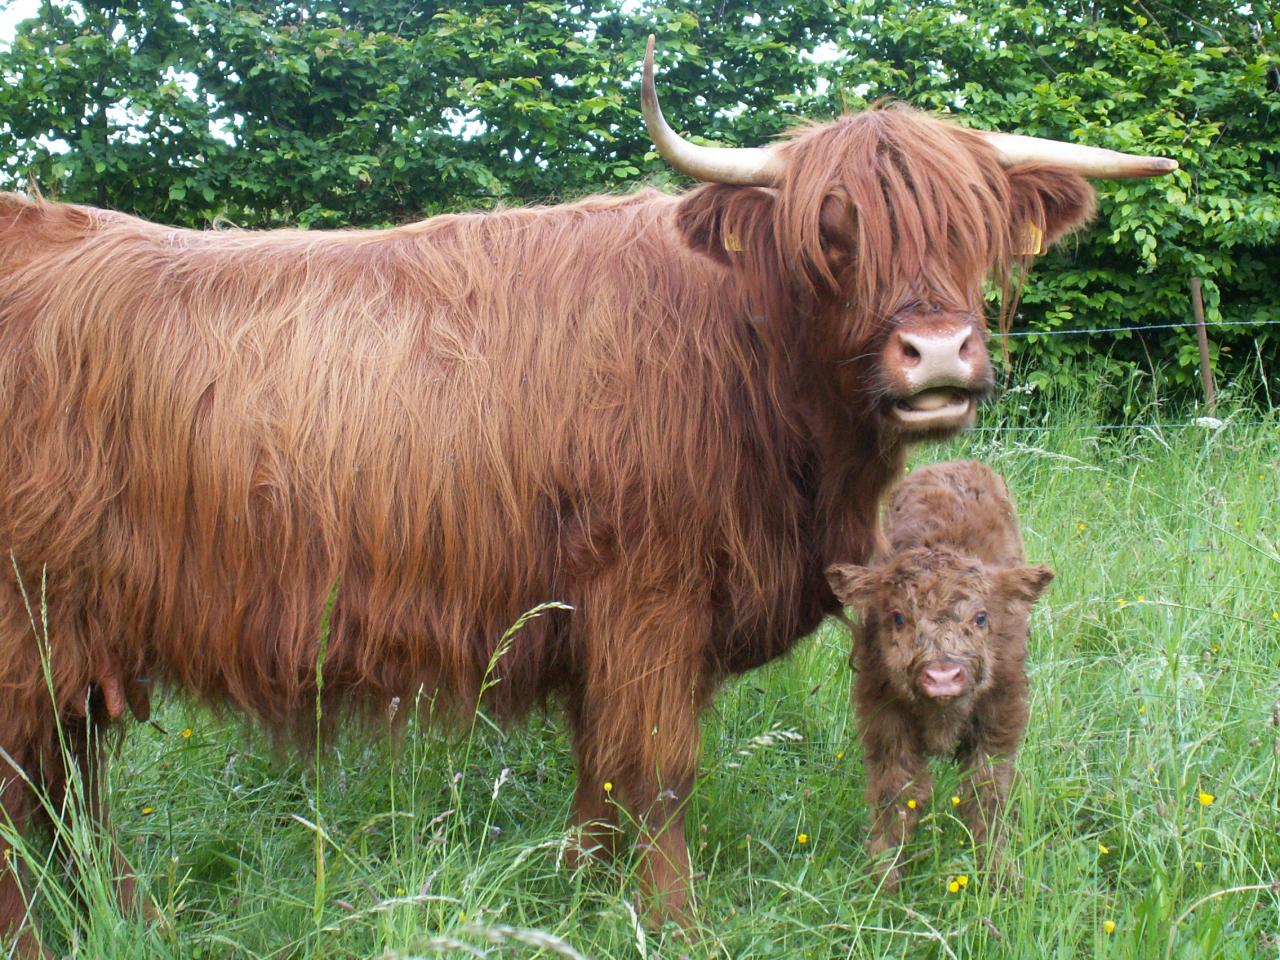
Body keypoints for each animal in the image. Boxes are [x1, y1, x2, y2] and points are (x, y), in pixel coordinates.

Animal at [824, 463, 1054, 890]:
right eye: (899, 617)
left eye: (981, 617)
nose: (943, 675)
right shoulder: (884, 715)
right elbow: (897, 791)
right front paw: (883, 878)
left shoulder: (1001, 714)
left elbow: (986, 792)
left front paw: (998, 873)